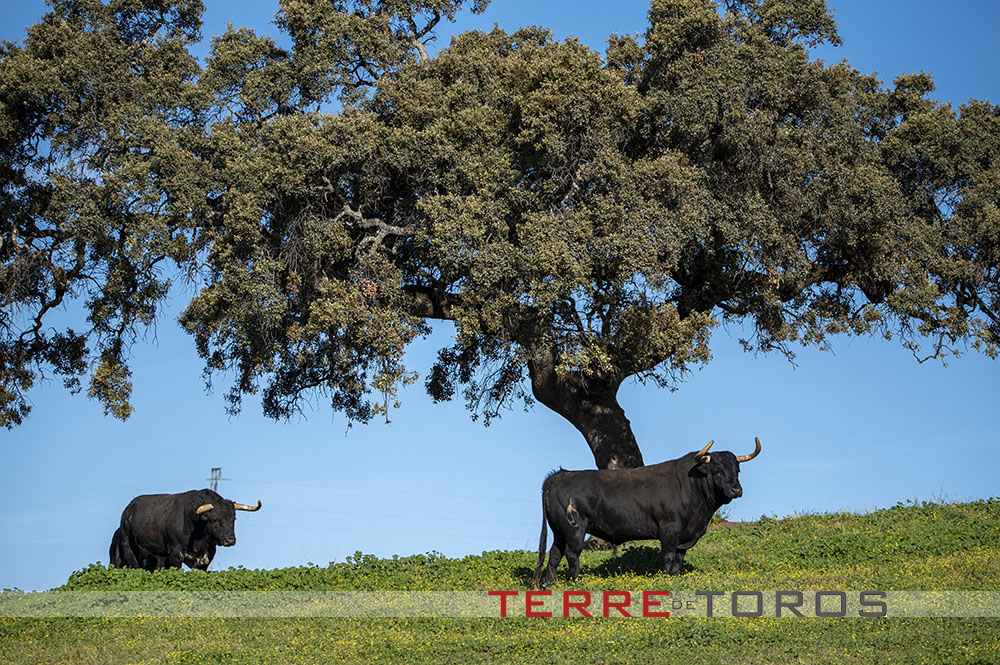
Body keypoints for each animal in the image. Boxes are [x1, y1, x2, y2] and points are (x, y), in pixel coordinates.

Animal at [109, 489, 262, 571]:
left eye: (233, 518)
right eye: (215, 519)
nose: (230, 540)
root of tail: (128, 510)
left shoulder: (206, 558)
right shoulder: (175, 555)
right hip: (128, 551)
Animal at [532, 438, 761, 587]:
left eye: (737, 470)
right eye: (717, 471)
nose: (736, 490)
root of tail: (561, 474)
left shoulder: (685, 536)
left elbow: (678, 560)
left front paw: (674, 580)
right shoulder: (669, 530)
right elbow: (668, 557)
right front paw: (666, 580)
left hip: (559, 531)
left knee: (554, 554)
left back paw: (547, 585)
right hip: (574, 529)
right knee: (572, 554)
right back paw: (577, 583)